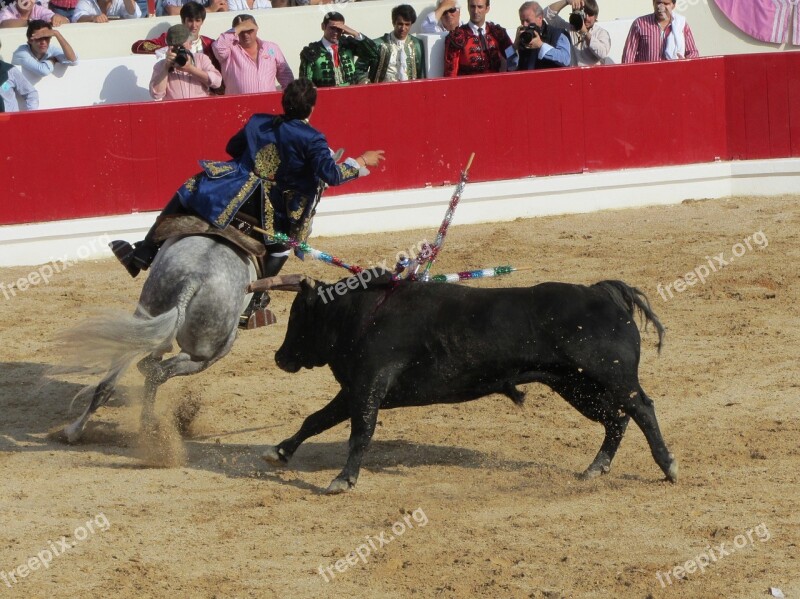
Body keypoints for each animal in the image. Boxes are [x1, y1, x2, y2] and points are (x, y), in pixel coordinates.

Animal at [61, 237, 250, 442]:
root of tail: (194, 278)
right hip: (213, 349)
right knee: (164, 370)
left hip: (145, 318)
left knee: (113, 382)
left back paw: (76, 430)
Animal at [266, 274, 680, 494]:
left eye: (298, 317)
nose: (279, 357)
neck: (359, 315)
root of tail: (600, 292)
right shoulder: (354, 389)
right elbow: (316, 419)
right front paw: (280, 451)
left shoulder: (369, 385)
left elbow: (360, 434)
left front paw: (342, 479)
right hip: (576, 387)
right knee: (616, 419)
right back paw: (596, 467)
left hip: (611, 378)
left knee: (641, 409)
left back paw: (668, 467)